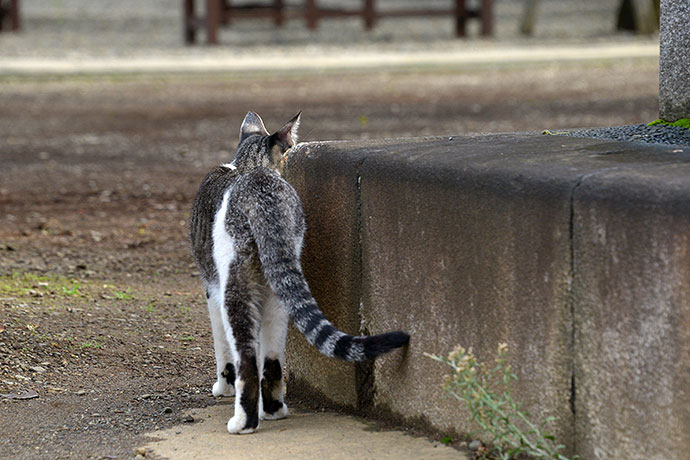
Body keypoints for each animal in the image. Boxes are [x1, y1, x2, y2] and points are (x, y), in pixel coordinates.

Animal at [188, 112, 408, 434]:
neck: (247, 165)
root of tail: (261, 190)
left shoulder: (211, 290)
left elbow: (222, 350)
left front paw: (222, 388)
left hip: (236, 287)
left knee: (246, 360)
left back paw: (244, 422)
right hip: (278, 294)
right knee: (271, 363)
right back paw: (274, 410)